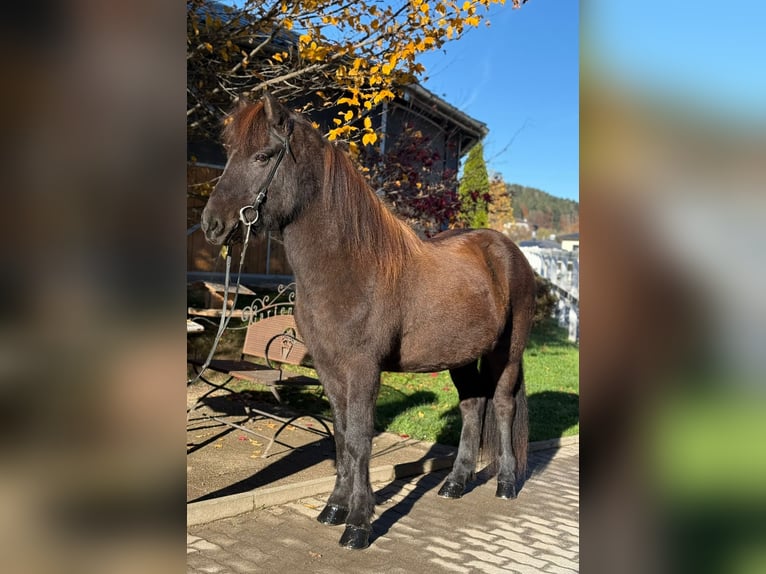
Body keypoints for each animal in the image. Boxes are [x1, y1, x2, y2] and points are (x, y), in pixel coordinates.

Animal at [201, 93, 536, 550]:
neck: (350, 266)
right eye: (230, 153)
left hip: (509, 351)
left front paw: (359, 523)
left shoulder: (363, 368)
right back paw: (454, 483)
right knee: (472, 406)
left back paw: (505, 483)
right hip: (462, 356)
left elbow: (361, 438)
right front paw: (334, 508)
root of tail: (507, 250)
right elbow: (343, 438)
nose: (211, 225)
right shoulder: (328, 368)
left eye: (263, 155)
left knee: (501, 405)